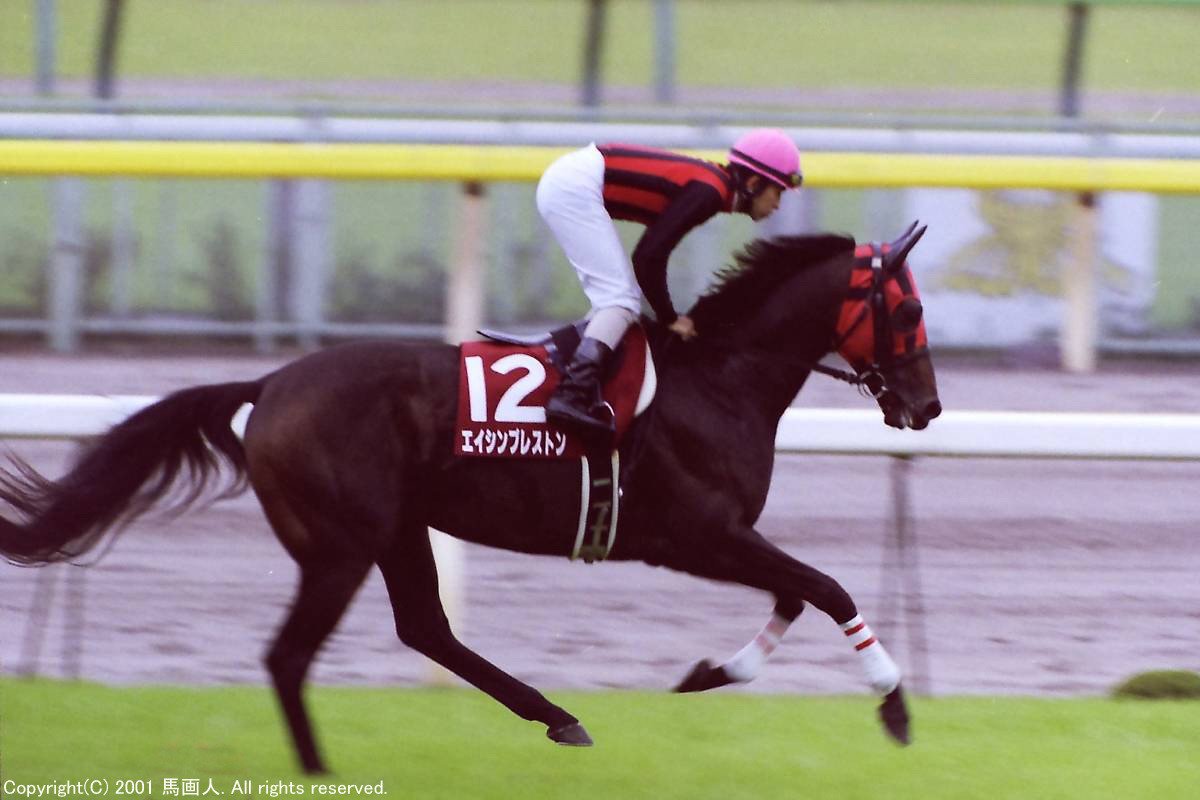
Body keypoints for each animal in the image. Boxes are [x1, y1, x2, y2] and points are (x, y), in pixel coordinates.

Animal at [0, 224, 940, 775]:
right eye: (909, 312)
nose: (927, 406)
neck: (719, 380)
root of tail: (269, 384)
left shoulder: (716, 537)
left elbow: (797, 592)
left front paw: (713, 671)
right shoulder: (697, 534)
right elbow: (826, 587)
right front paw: (894, 705)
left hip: (394, 529)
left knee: (424, 628)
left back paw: (555, 717)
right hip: (342, 543)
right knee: (290, 656)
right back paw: (325, 770)